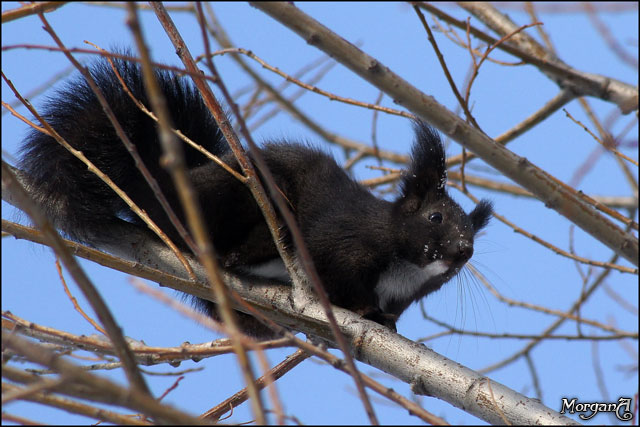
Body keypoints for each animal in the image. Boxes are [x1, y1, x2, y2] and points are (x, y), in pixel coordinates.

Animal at [17, 56, 492, 338]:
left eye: (473, 240)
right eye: (435, 217)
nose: (462, 251)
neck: (405, 268)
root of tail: (161, 188)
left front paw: (384, 323)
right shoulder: (342, 239)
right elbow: (336, 271)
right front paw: (361, 307)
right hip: (240, 196)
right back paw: (235, 254)